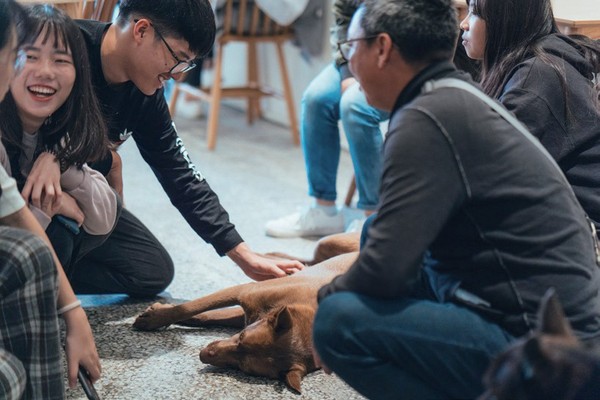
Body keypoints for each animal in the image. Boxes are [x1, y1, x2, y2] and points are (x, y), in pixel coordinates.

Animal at [134, 247, 358, 394]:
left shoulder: (248, 312)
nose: (204, 355)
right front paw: (157, 317)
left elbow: (207, 315)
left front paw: (161, 313)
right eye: (241, 337)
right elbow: (194, 307)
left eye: (243, 367)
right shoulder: (244, 291)